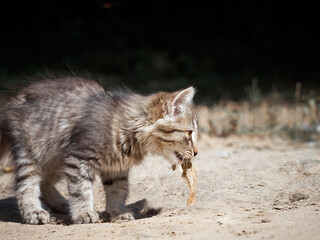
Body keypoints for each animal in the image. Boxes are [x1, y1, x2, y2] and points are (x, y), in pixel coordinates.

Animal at [0, 76, 199, 224]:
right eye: (189, 133)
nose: (196, 152)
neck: (128, 130)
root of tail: (17, 98)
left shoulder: (116, 168)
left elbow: (117, 192)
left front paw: (117, 213)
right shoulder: (78, 158)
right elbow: (81, 189)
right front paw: (83, 213)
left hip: (54, 158)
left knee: (45, 181)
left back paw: (62, 204)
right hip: (31, 153)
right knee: (25, 185)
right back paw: (34, 212)